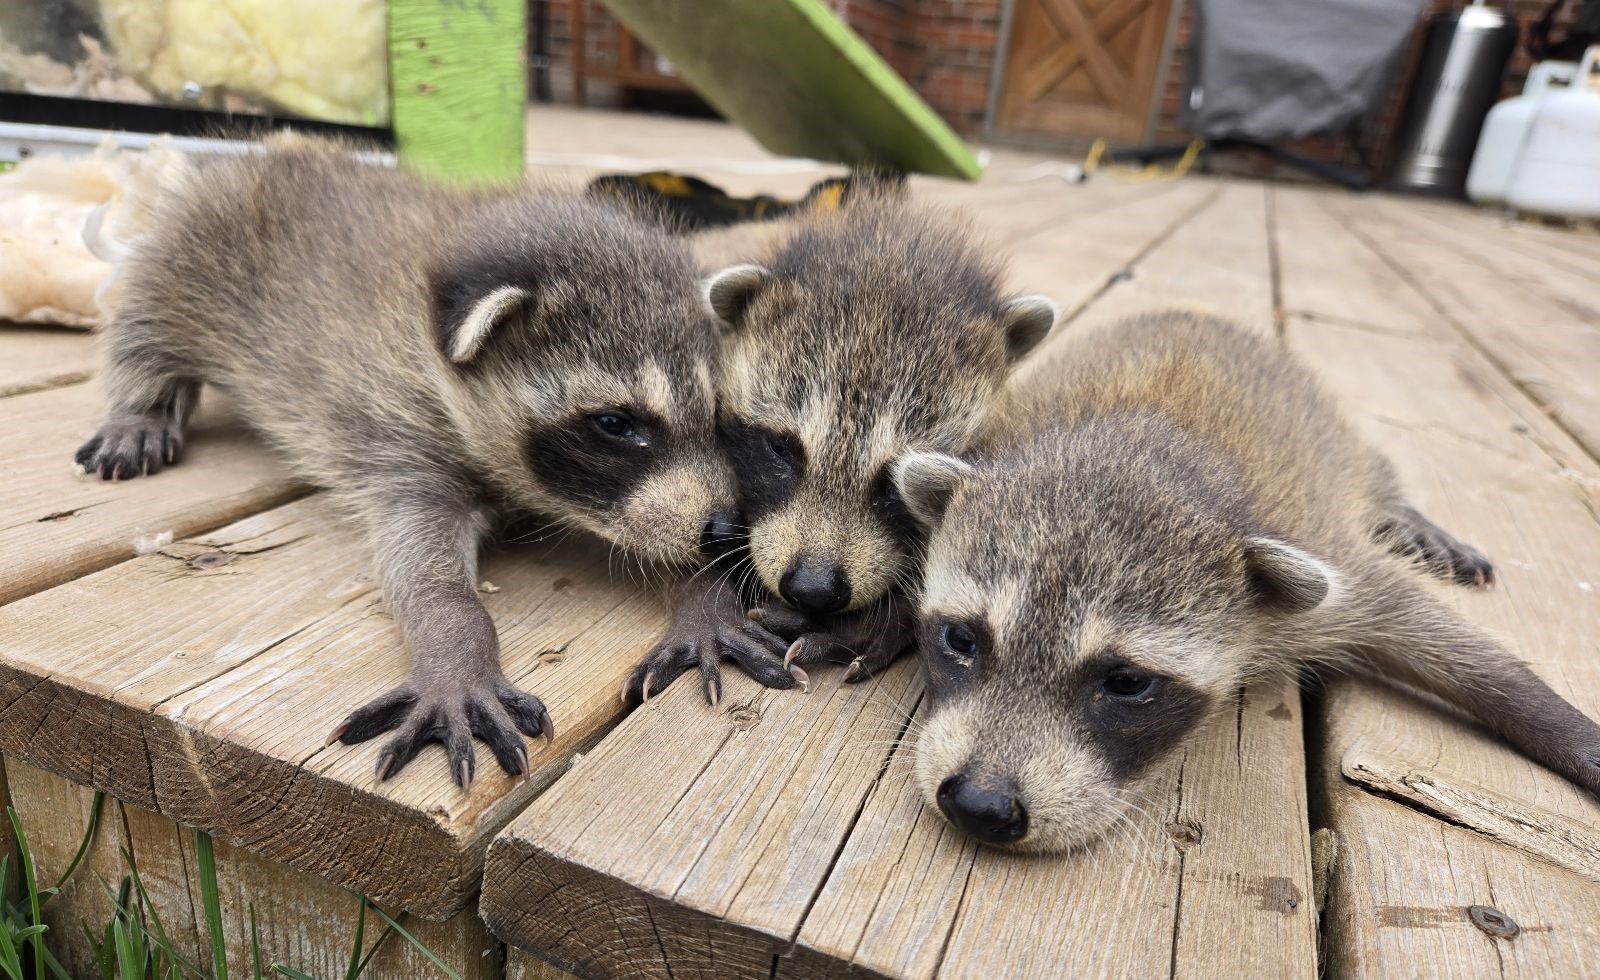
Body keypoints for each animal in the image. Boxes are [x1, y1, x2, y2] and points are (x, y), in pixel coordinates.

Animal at [75, 137, 738, 786]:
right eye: (615, 424)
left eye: (718, 416)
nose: (723, 527)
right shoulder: (399, 432)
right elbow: (420, 569)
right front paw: (454, 650)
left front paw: (708, 596)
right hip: (187, 255)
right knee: (144, 328)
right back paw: (139, 407)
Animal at [621, 191, 1061, 706]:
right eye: (780, 447)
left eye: (898, 474)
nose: (811, 590)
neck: (883, 240)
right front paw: (707, 604)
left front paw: (880, 622)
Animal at [892, 311, 1598, 851]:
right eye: (962, 639)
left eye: (1127, 682)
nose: (981, 804)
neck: (1136, 451)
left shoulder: (1320, 558)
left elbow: (1432, 631)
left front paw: (1563, 725)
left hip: (1333, 436)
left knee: (1374, 471)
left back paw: (1403, 510)